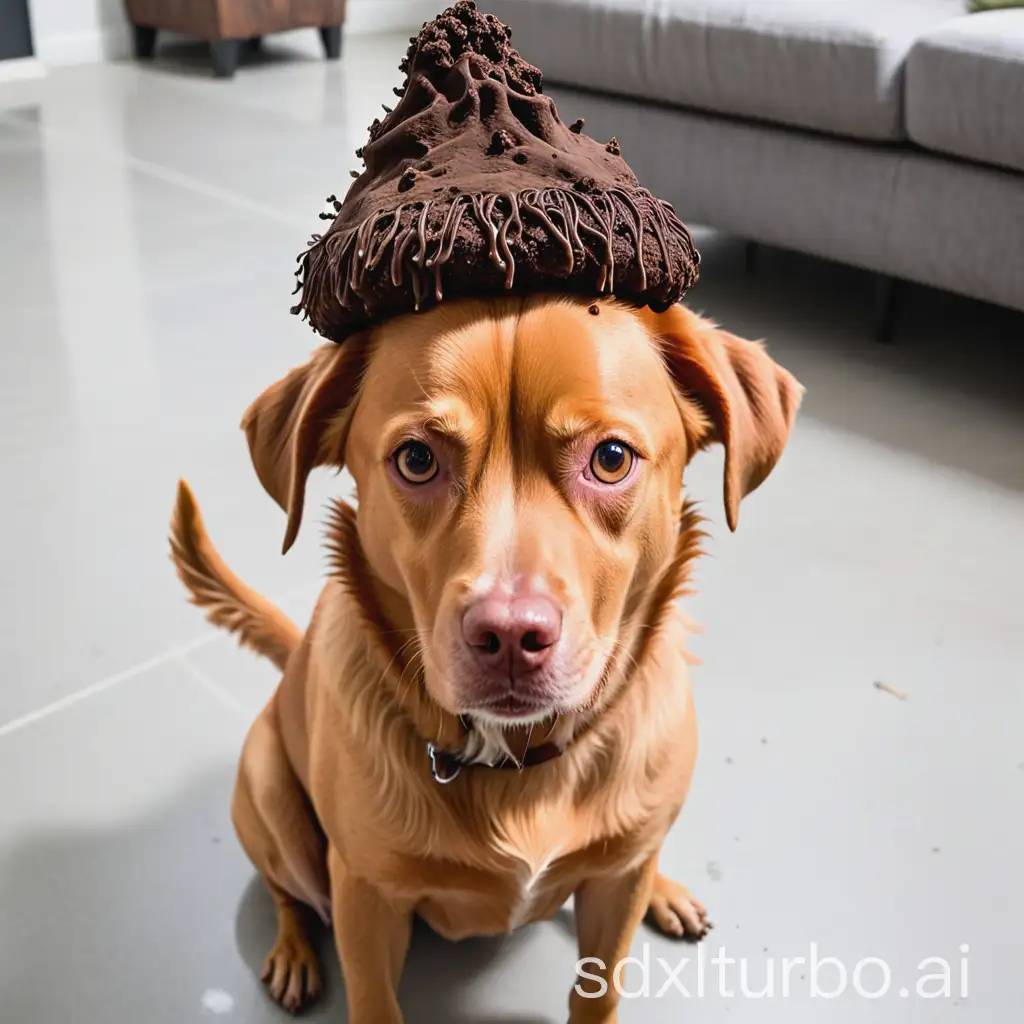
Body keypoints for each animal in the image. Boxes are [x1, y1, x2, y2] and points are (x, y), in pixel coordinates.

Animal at [172, 292, 802, 1019]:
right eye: (417, 459)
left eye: (612, 458)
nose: (509, 637)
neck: (517, 763)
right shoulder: (365, 899)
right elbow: (374, 998)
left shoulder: (615, 893)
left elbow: (598, 990)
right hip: (272, 799)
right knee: (289, 892)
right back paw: (294, 953)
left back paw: (665, 888)